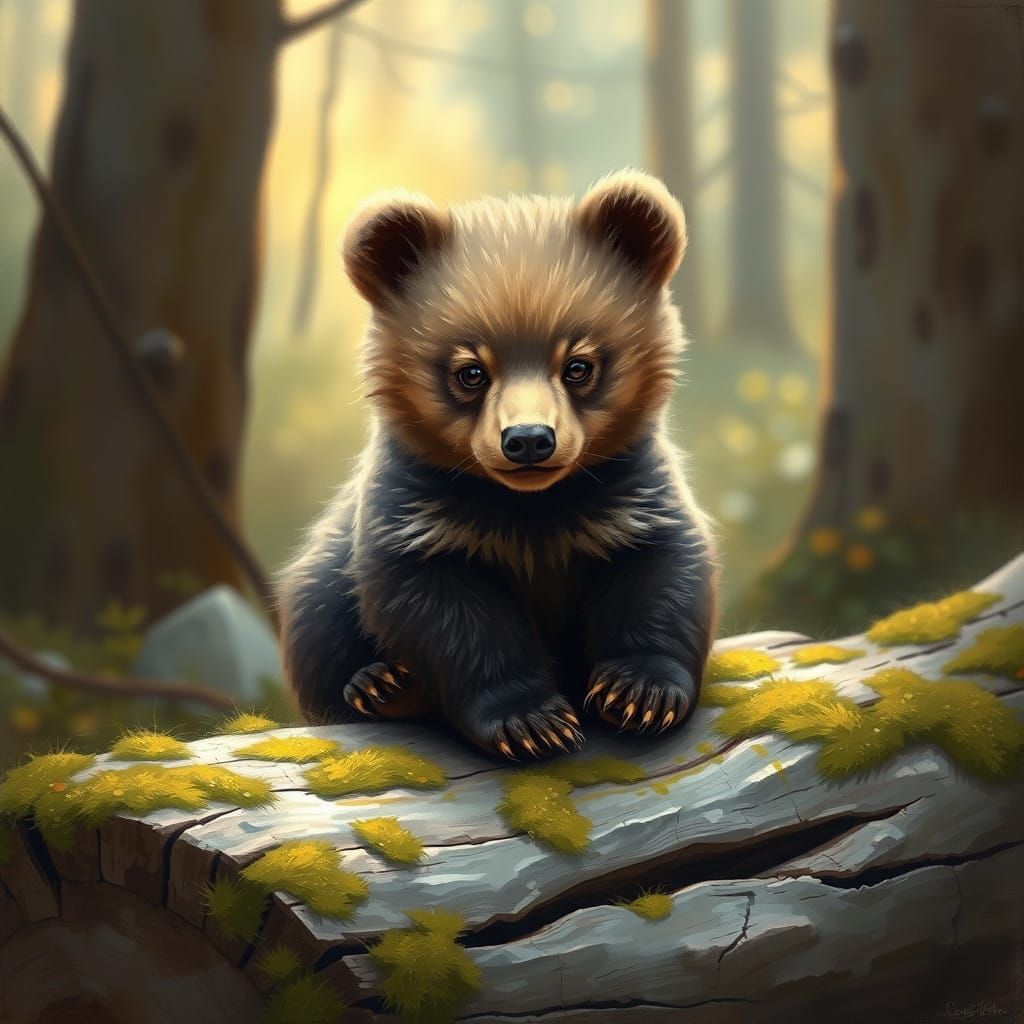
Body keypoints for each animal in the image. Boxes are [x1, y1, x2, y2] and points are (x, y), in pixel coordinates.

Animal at [277, 170, 718, 760]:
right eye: (470, 372)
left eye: (578, 366)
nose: (529, 440)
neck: (529, 505)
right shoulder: (419, 516)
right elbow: (447, 617)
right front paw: (531, 721)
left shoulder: (632, 495)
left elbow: (663, 572)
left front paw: (640, 693)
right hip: (323, 576)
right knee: (315, 614)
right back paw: (380, 687)